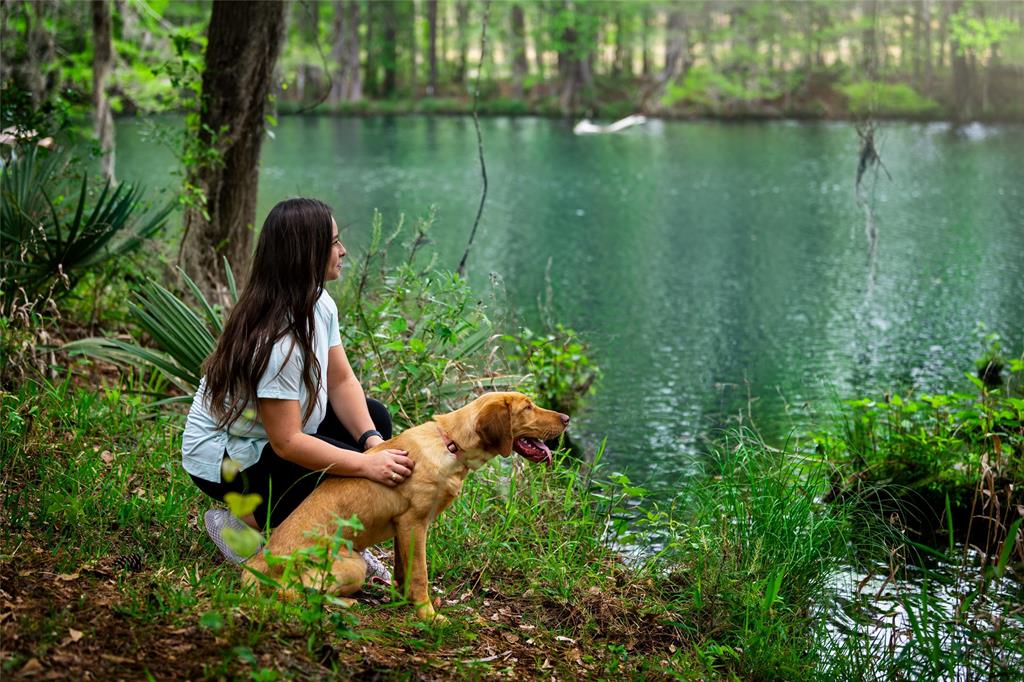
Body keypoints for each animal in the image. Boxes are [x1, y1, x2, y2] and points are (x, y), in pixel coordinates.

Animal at [244, 391, 573, 618]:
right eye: (527, 407)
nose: (567, 419)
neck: (450, 445)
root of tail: (255, 566)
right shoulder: (414, 523)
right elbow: (420, 575)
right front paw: (428, 615)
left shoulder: (402, 528)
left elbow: (404, 571)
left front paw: (401, 602)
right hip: (352, 564)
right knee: (297, 594)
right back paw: (346, 602)